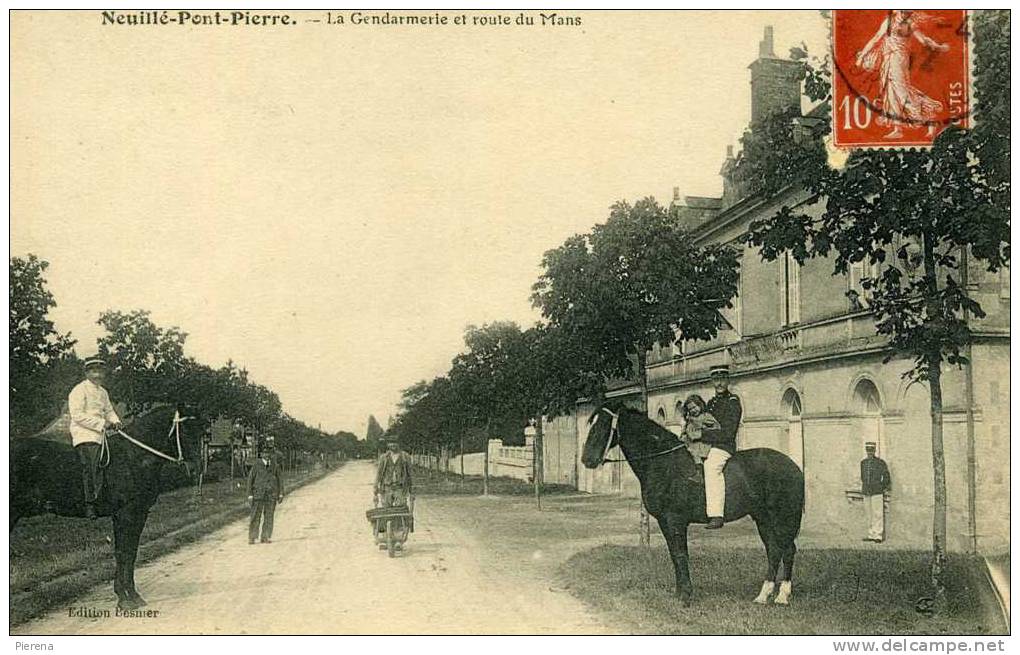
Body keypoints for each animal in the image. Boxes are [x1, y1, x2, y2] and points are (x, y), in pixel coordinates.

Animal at [10, 406, 198, 608]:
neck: (133, 457)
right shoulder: (126, 514)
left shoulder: (139, 514)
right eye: (184, 429)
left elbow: (130, 552)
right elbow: (123, 552)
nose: (195, 468)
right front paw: (126, 598)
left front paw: (129, 594)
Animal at [583, 399, 803, 603]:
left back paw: (782, 596)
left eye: (602, 424)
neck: (664, 464)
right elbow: (674, 555)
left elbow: (681, 555)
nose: (587, 460)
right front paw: (680, 592)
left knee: (787, 550)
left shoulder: (675, 520)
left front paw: (686, 596)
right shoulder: (664, 522)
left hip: (782, 518)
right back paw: (763, 595)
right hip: (763, 518)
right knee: (774, 550)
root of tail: (793, 465)